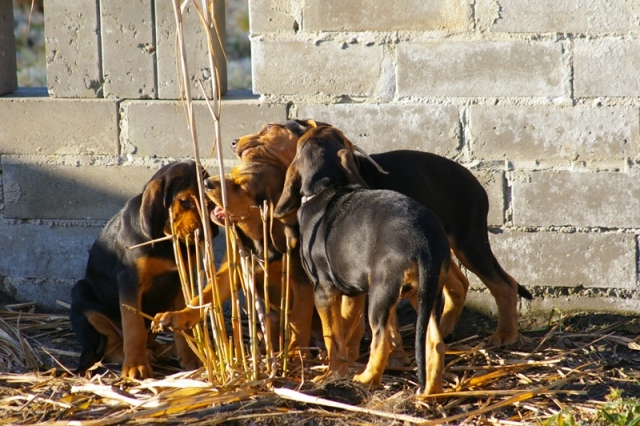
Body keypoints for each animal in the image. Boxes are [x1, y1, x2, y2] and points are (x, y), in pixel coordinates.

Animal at [69, 161, 211, 380]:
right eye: (184, 202)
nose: (207, 232)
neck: (166, 241)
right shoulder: (130, 281)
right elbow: (133, 327)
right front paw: (136, 365)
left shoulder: (181, 281)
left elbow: (182, 324)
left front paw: (190, 357)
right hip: (81, 294)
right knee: (109, 346)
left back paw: (161, 349)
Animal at [276, 125, 450, 392]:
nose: (319, 125)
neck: (325, 187)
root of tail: (426, 240)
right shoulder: (353, 291)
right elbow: (345, 327)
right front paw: (343, 364)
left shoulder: (323, 290)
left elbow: (331, 336)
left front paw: (330, 374)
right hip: (427, 292)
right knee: (435, 343)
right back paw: (430, 393)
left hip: (382, 291)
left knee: (382, 340)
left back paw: (366, 379)